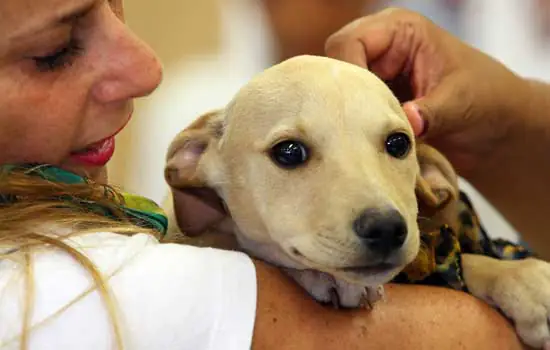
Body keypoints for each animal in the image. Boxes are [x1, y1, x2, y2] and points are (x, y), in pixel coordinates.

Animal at [165, 56, 550, 348]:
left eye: (399, 143)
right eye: (288, 151)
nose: (386, 229)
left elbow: (463, 260)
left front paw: (526, 282)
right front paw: (325, 278)